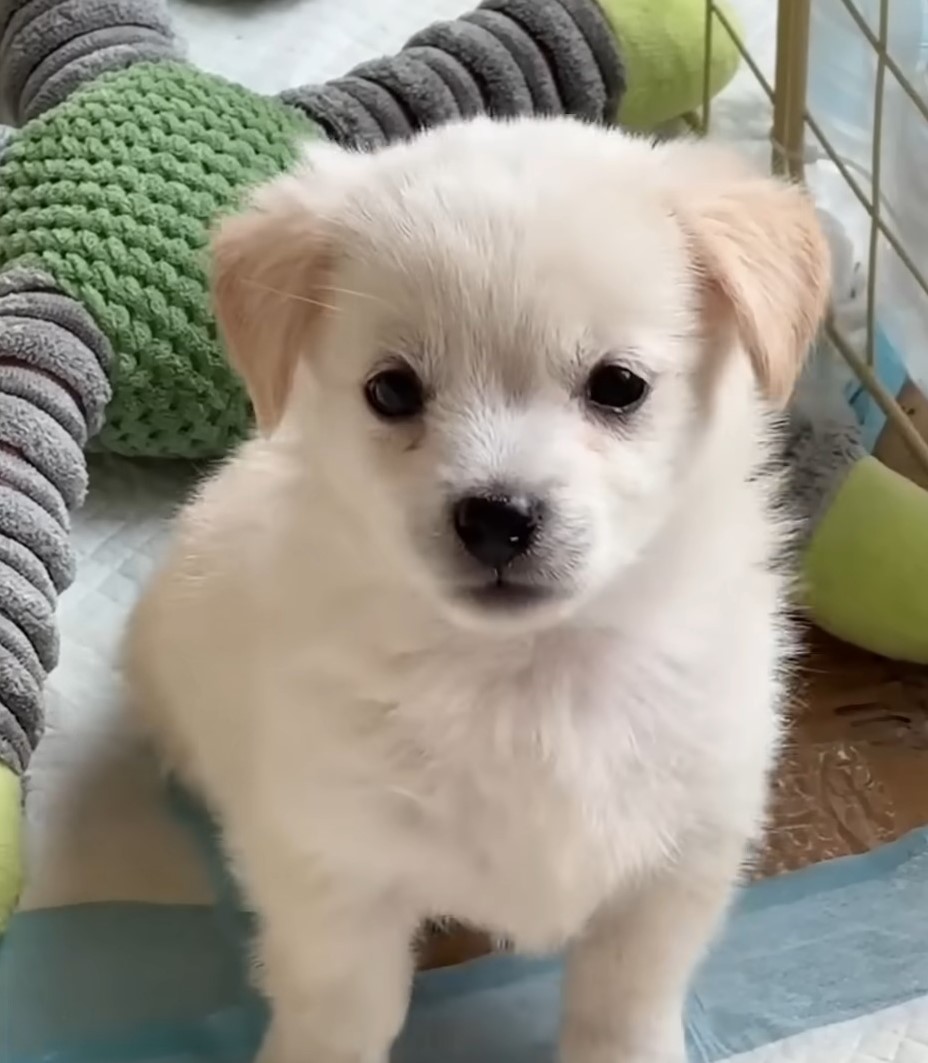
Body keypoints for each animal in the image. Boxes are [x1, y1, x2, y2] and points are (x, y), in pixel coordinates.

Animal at [126, 116, 829, 1063]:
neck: (527, 677)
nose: (497, 517)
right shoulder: (334, 876)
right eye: (391, 390)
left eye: (619, 386)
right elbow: (342, 1011)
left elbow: (624, 1004)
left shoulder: (677, 863)